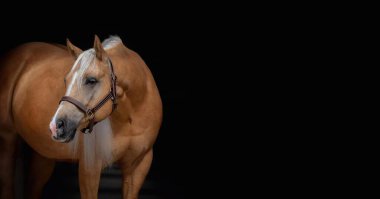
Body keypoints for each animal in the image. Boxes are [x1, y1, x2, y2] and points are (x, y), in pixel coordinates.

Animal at [0, 35, 162, 198]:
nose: (56, 126)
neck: (130, 118)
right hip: (7, 140)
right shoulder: (89, 168)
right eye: (65, 80)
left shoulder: (139, 166)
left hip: (43, 154)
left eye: (91, 80)